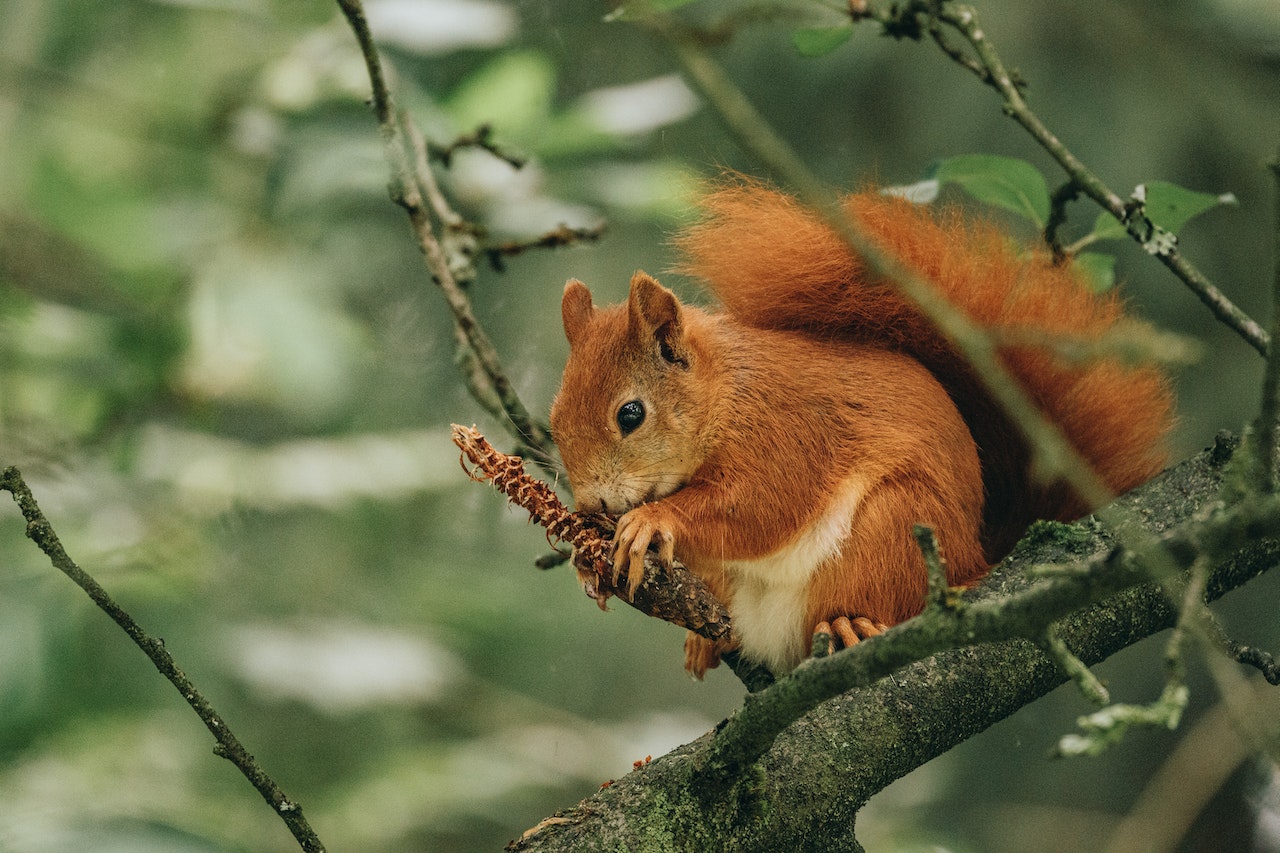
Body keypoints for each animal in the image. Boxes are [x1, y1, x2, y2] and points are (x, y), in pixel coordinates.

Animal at [545, 180, 1172, 676]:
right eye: (553, 419)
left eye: (631, 414)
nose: (591, 503)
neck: (725, 396)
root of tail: (977, 555)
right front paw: (585, 556)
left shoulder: (787, 433)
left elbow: (760, 506)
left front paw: (652, 520)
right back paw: (706, 641)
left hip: (892, 530)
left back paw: (851, 623)